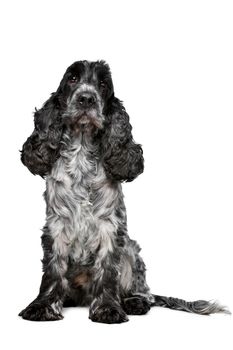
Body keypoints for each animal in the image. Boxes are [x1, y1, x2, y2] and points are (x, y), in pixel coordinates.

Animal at [19, 59, 228, 322]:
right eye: (72, 79)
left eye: (103, 84)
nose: (86, 99)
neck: (81, 154)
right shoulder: (56, 225)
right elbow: (52, 270)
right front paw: (43, 306)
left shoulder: (110, 228)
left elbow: (108, 270)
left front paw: (108, 308)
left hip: (131, 250)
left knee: (144, 292)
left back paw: (134, 302)